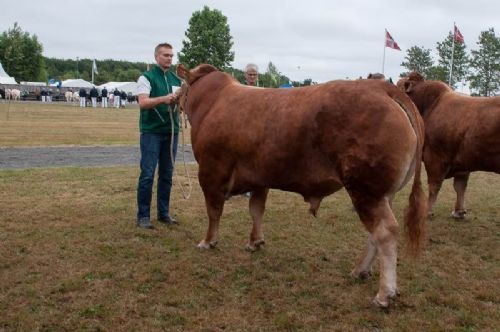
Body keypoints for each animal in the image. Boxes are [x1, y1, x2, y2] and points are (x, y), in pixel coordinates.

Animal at [176, 63, 426, 308]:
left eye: (182, 85)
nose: (175, 98)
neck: (212, 102)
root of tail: (383, 89)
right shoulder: (260, 177)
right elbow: (256, 209)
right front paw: (255, 242)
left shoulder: (210, 172)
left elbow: (214, 212)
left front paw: (208, 241)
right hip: (383, 194)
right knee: (375, 233)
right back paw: (360, 271)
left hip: (366, 190)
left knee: (385, 232)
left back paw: (384, 293)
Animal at [398, 72, 500, 218]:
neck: (430, 107)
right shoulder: (464, 163)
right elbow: (460, 187)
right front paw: (459, 212)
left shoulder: (434, 157)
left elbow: (434, 185)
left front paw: (428, 210)